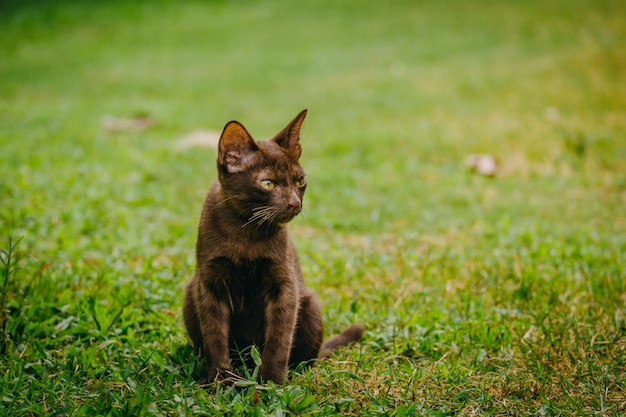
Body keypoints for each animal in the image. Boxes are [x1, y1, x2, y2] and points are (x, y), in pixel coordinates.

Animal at [183, 109, 364, 382]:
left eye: (299, 180)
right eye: (267, 183)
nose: (295, 203)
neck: (245, 231)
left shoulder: (284, 286)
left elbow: (279, 339)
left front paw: (271, 382)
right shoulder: (210, 285)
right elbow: (215, 337)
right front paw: (220, 380)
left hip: (310, 304)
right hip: (190, 293)